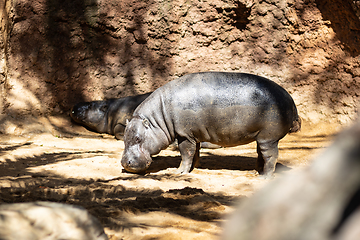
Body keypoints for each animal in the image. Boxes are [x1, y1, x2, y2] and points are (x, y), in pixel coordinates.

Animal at [121, 72, 300, 177]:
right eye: (124, 137)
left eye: (138, 138)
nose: (124, 163)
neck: (157, 119)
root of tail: (291, 100)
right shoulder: (194, 135)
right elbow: (195, 153)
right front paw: (195, 168)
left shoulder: (184, 134)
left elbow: (186, 153)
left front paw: (179, 173)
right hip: (262, 137)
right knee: (261, 155)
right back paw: (258, 171)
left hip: (268, 138)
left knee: (271, 156)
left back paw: (265, 176)